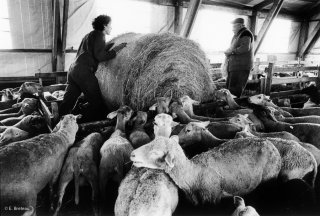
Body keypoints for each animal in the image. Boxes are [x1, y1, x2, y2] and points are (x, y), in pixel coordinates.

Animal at [129, 136, 280, 205]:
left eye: (155, 152)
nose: (132, 154)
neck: (193, 175)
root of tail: (269, 142)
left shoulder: (212, 198)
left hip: (269, 177)